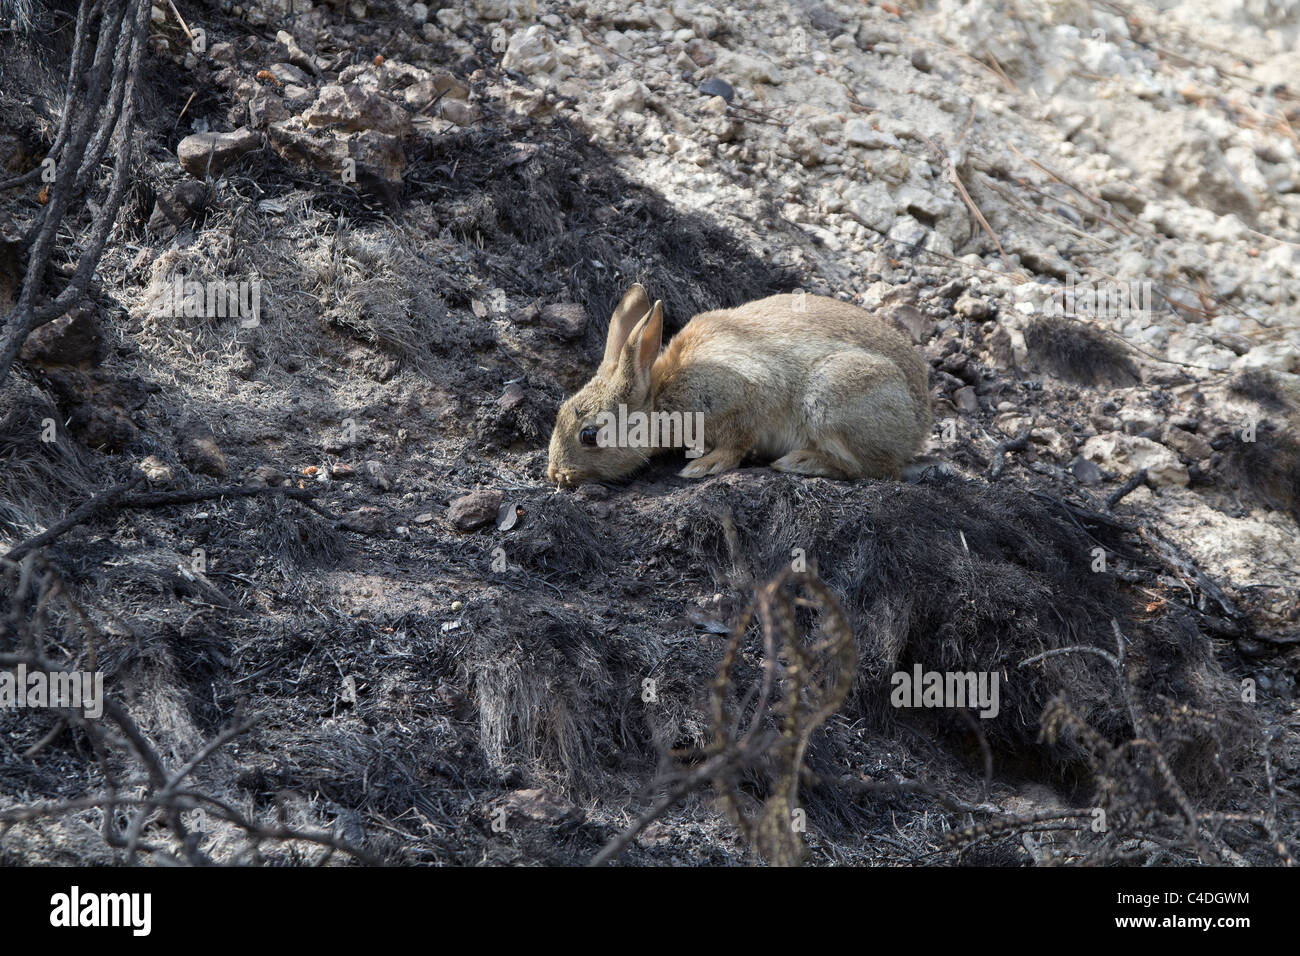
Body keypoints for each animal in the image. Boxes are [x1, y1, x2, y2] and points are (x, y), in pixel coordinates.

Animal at [543, 283, 930, 486]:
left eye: (589, 435)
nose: (555, 473)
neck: (661, 393)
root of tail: (917, 428)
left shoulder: (745, 398)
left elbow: (735, 443)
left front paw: (703, 467)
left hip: (832, 397)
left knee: (877, 469)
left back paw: (801, 462)